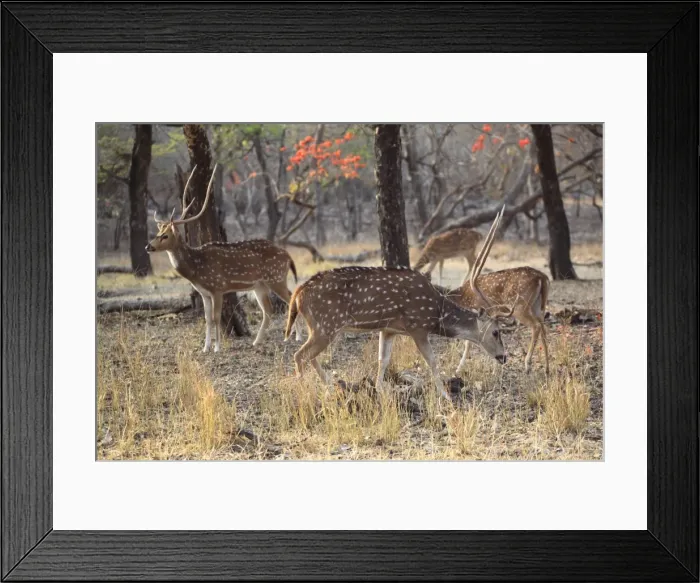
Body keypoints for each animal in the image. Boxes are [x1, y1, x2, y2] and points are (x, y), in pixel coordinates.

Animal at [145, 163, 303, 353]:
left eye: (165, 236)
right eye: (158, 233)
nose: (148, 246)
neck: (196, 270)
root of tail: (288, 256)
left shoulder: (217, 287)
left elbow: (216, 317)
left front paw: (217, 348)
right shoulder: (204, 293)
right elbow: (207, 318)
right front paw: (205, 348)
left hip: (276, 277)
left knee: (290, 297)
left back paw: (297, 337)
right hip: (260, 285)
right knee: (268, 310)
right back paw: (257, 342)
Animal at [283, 207, 513, 399]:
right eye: (496, 332)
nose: (504, 357)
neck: (435, 313)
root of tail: (298, 293)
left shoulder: (388, 329)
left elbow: (382, 360)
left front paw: (378, 392)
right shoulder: (417, 326)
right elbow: (432, 360)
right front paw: (446, 397)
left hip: (319, 327)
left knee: (308, 356)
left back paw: (330, 385)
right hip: (326, 325)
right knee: (299, 355)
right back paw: (305, 392)